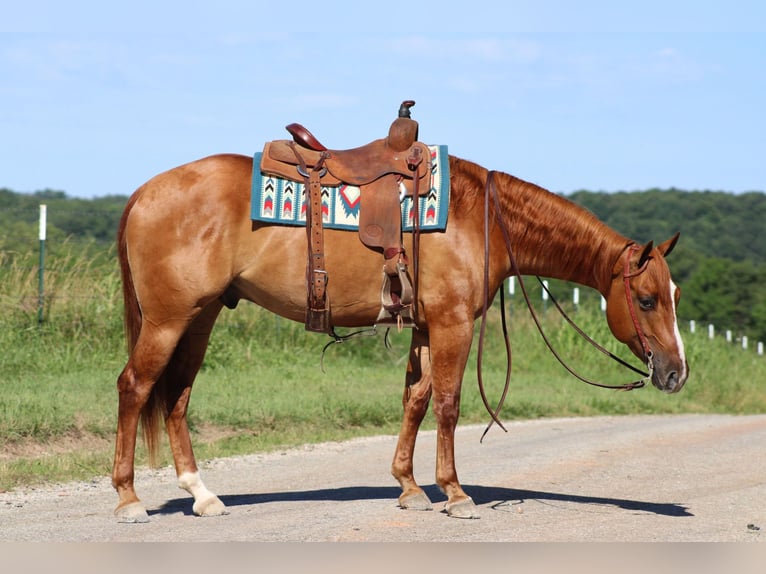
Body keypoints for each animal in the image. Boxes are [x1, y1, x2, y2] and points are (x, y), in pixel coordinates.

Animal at [109, 152, 688, 520]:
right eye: (646, 299)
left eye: (675, 294)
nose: (676, 373)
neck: (484, 219)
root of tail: (142, 193)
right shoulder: (454, 323)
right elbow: (449, 403)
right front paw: (455, 493)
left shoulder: (427, 328)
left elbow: (416, 400)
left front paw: (409, 487)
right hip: (167, 321)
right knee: (135, 388)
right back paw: (129, 499)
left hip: (200, 317)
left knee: (177, 396)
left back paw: (202, 495)